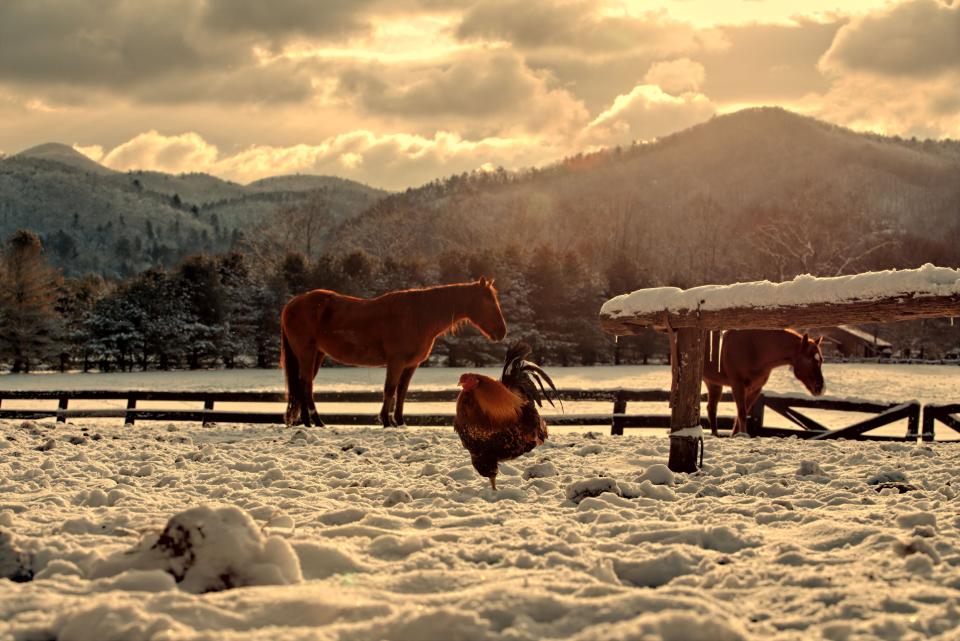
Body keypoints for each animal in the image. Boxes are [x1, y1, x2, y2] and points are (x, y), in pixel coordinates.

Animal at [280, 278, 510, 428]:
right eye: (488, 300)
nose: (502, 332)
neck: (418, 316)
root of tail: (292, 304)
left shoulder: (410, 365)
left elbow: (402, 391)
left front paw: (399, 421)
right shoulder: (396, 361)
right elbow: (389, 389)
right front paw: (386, 420)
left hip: (316, 355)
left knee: (302, 385)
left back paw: (308, 422)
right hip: (307, 353)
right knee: (306, 384)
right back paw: (314, 421)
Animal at [700, 328, 828, 438]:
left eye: (821, 360)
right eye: (809, 360)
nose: (820, 388)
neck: (754, 348)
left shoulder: (755, 389)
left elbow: (742, 413)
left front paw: (736, 435)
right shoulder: (738, 385)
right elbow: (742, 413)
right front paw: (743, 436)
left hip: (713, 384)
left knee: (711, 409)